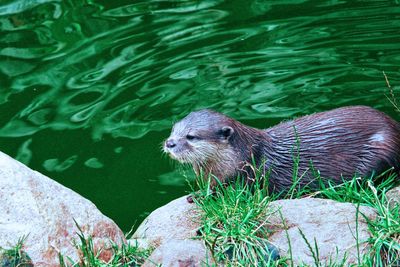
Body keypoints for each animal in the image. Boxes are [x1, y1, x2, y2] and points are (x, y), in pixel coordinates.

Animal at [163, 106, 400, 195]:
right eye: (173, 130)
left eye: (191, 136)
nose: (169, 143)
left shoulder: (247, 176)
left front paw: (198, 197)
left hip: (381, 149)